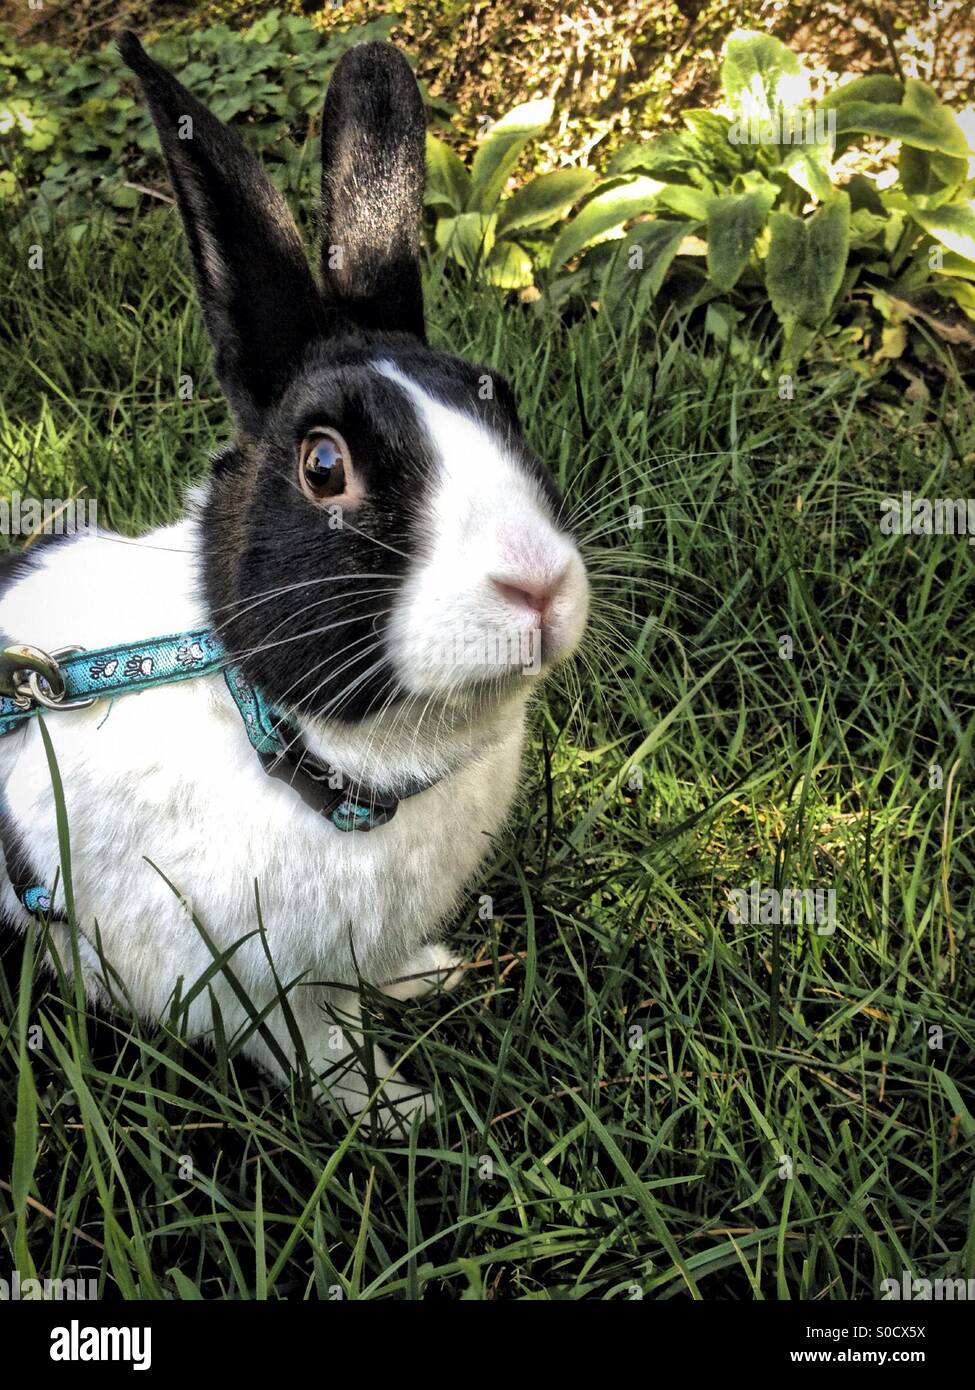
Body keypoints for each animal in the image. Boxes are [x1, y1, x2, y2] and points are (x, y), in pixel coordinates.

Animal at [0, 33, 589, 1131]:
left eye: (502, 401)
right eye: (323, 465)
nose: (537, 586)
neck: (289, 741)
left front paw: (428, 974)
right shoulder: (254, 992)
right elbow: (323, 1057)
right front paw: (402, 1113)